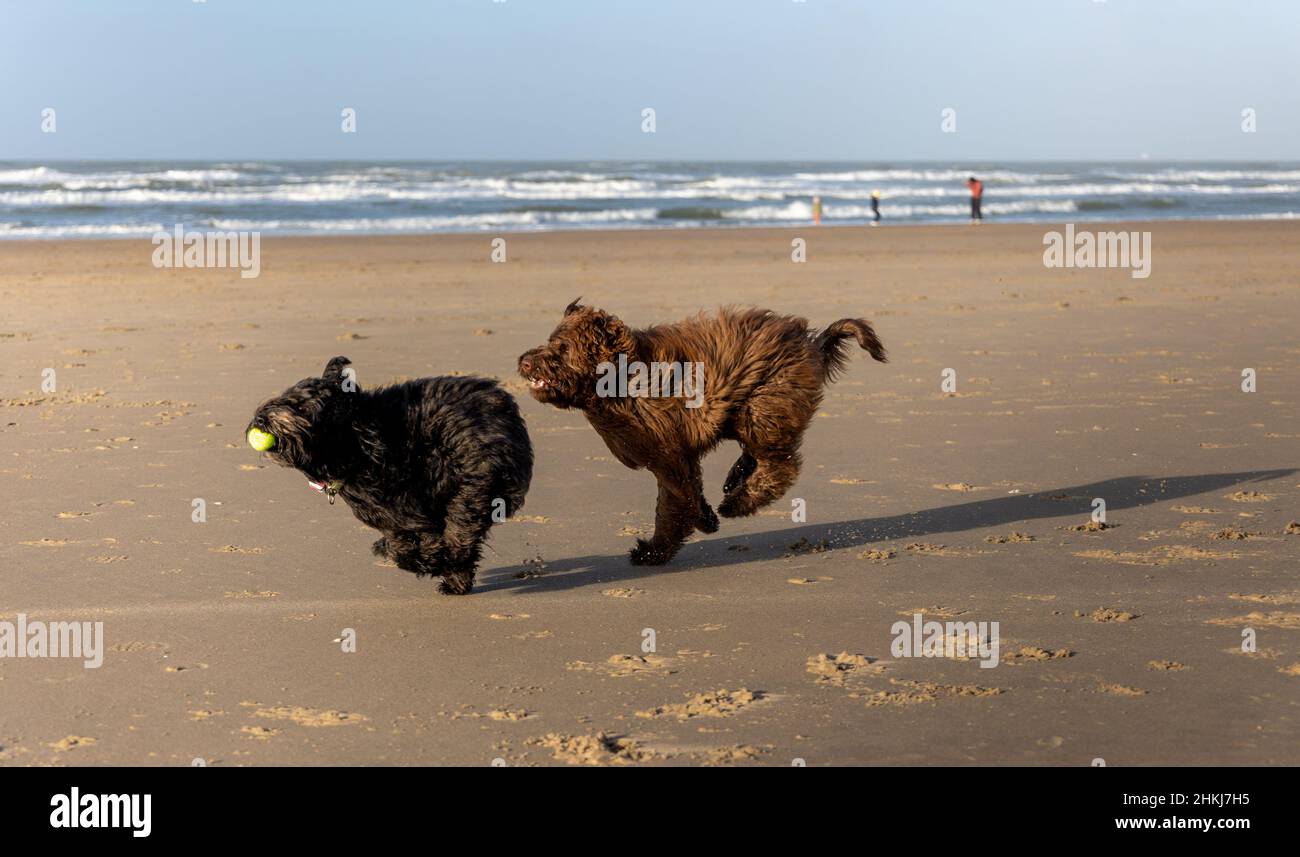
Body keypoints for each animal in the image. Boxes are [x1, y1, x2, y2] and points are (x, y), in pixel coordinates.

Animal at [248, 358, 533, 593]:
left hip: (473, 483)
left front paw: (430, 560)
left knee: (462, 530)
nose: (260, 419)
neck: (358, 440)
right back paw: (455, 581)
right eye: (285, 396)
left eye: (299, 406)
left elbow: (421, 540)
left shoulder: (410, 504)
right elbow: (401, 542)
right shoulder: (394, 516)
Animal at [517, 305, 883, 566]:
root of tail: (812, 343)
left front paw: (661, 546)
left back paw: (739, 501)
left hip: (763, 407)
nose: (524, 361)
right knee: (760, 456)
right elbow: (683, 494)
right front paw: (696, 523)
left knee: (781, 465)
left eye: (562, 348)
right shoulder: (675, 457)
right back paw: (735, 479)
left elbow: (675, 503)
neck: (621, 378)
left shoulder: (668, 453)